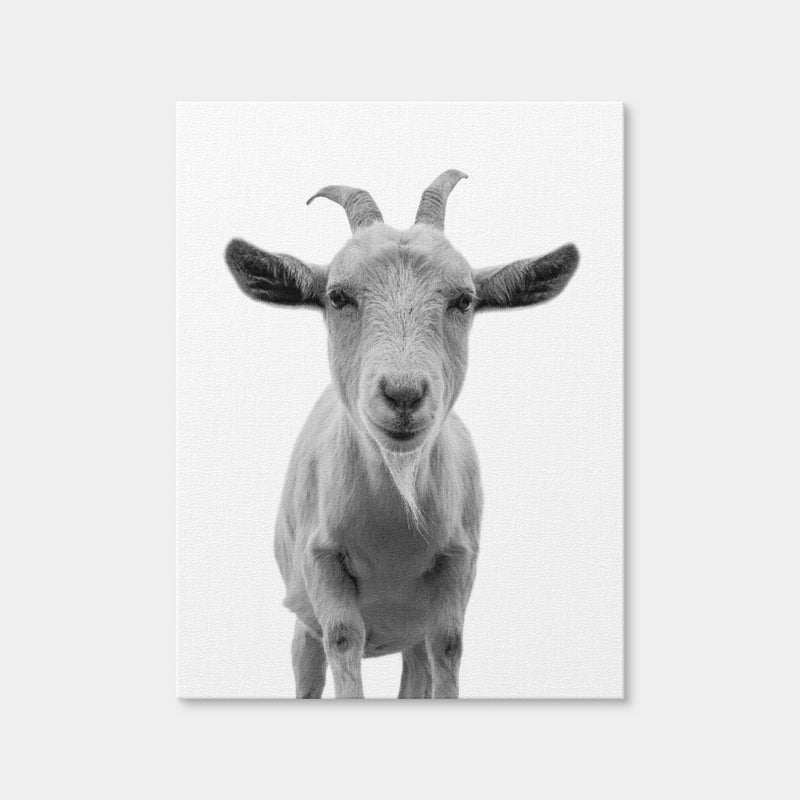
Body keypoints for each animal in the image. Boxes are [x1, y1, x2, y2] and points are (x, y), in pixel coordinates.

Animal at [225, 171, 579, 698]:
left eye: (464, 300)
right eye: (337, 296)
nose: (403, 394)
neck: (395, 521)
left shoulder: (457, 565)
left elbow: (448, 646)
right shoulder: (322, 563)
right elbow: (343, 639)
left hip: (410, 634)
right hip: (302, 625)